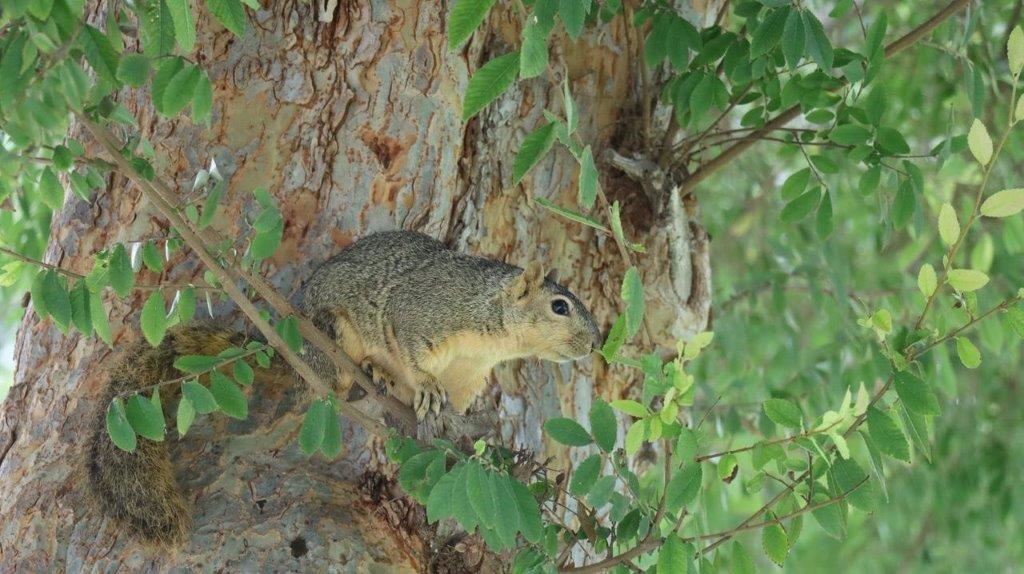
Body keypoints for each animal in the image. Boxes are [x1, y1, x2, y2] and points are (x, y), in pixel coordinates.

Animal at [88, 228, 602, 540]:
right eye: (559, 306)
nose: (597, 343)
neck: (490, 332)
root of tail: (290, 347)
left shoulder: (469, 374)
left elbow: (458, 409)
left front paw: (455, 434)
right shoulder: (422, 312)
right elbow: (411, 347)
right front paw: (425, 388)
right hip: (332, 336)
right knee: (329, 381)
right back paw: (370, 374)